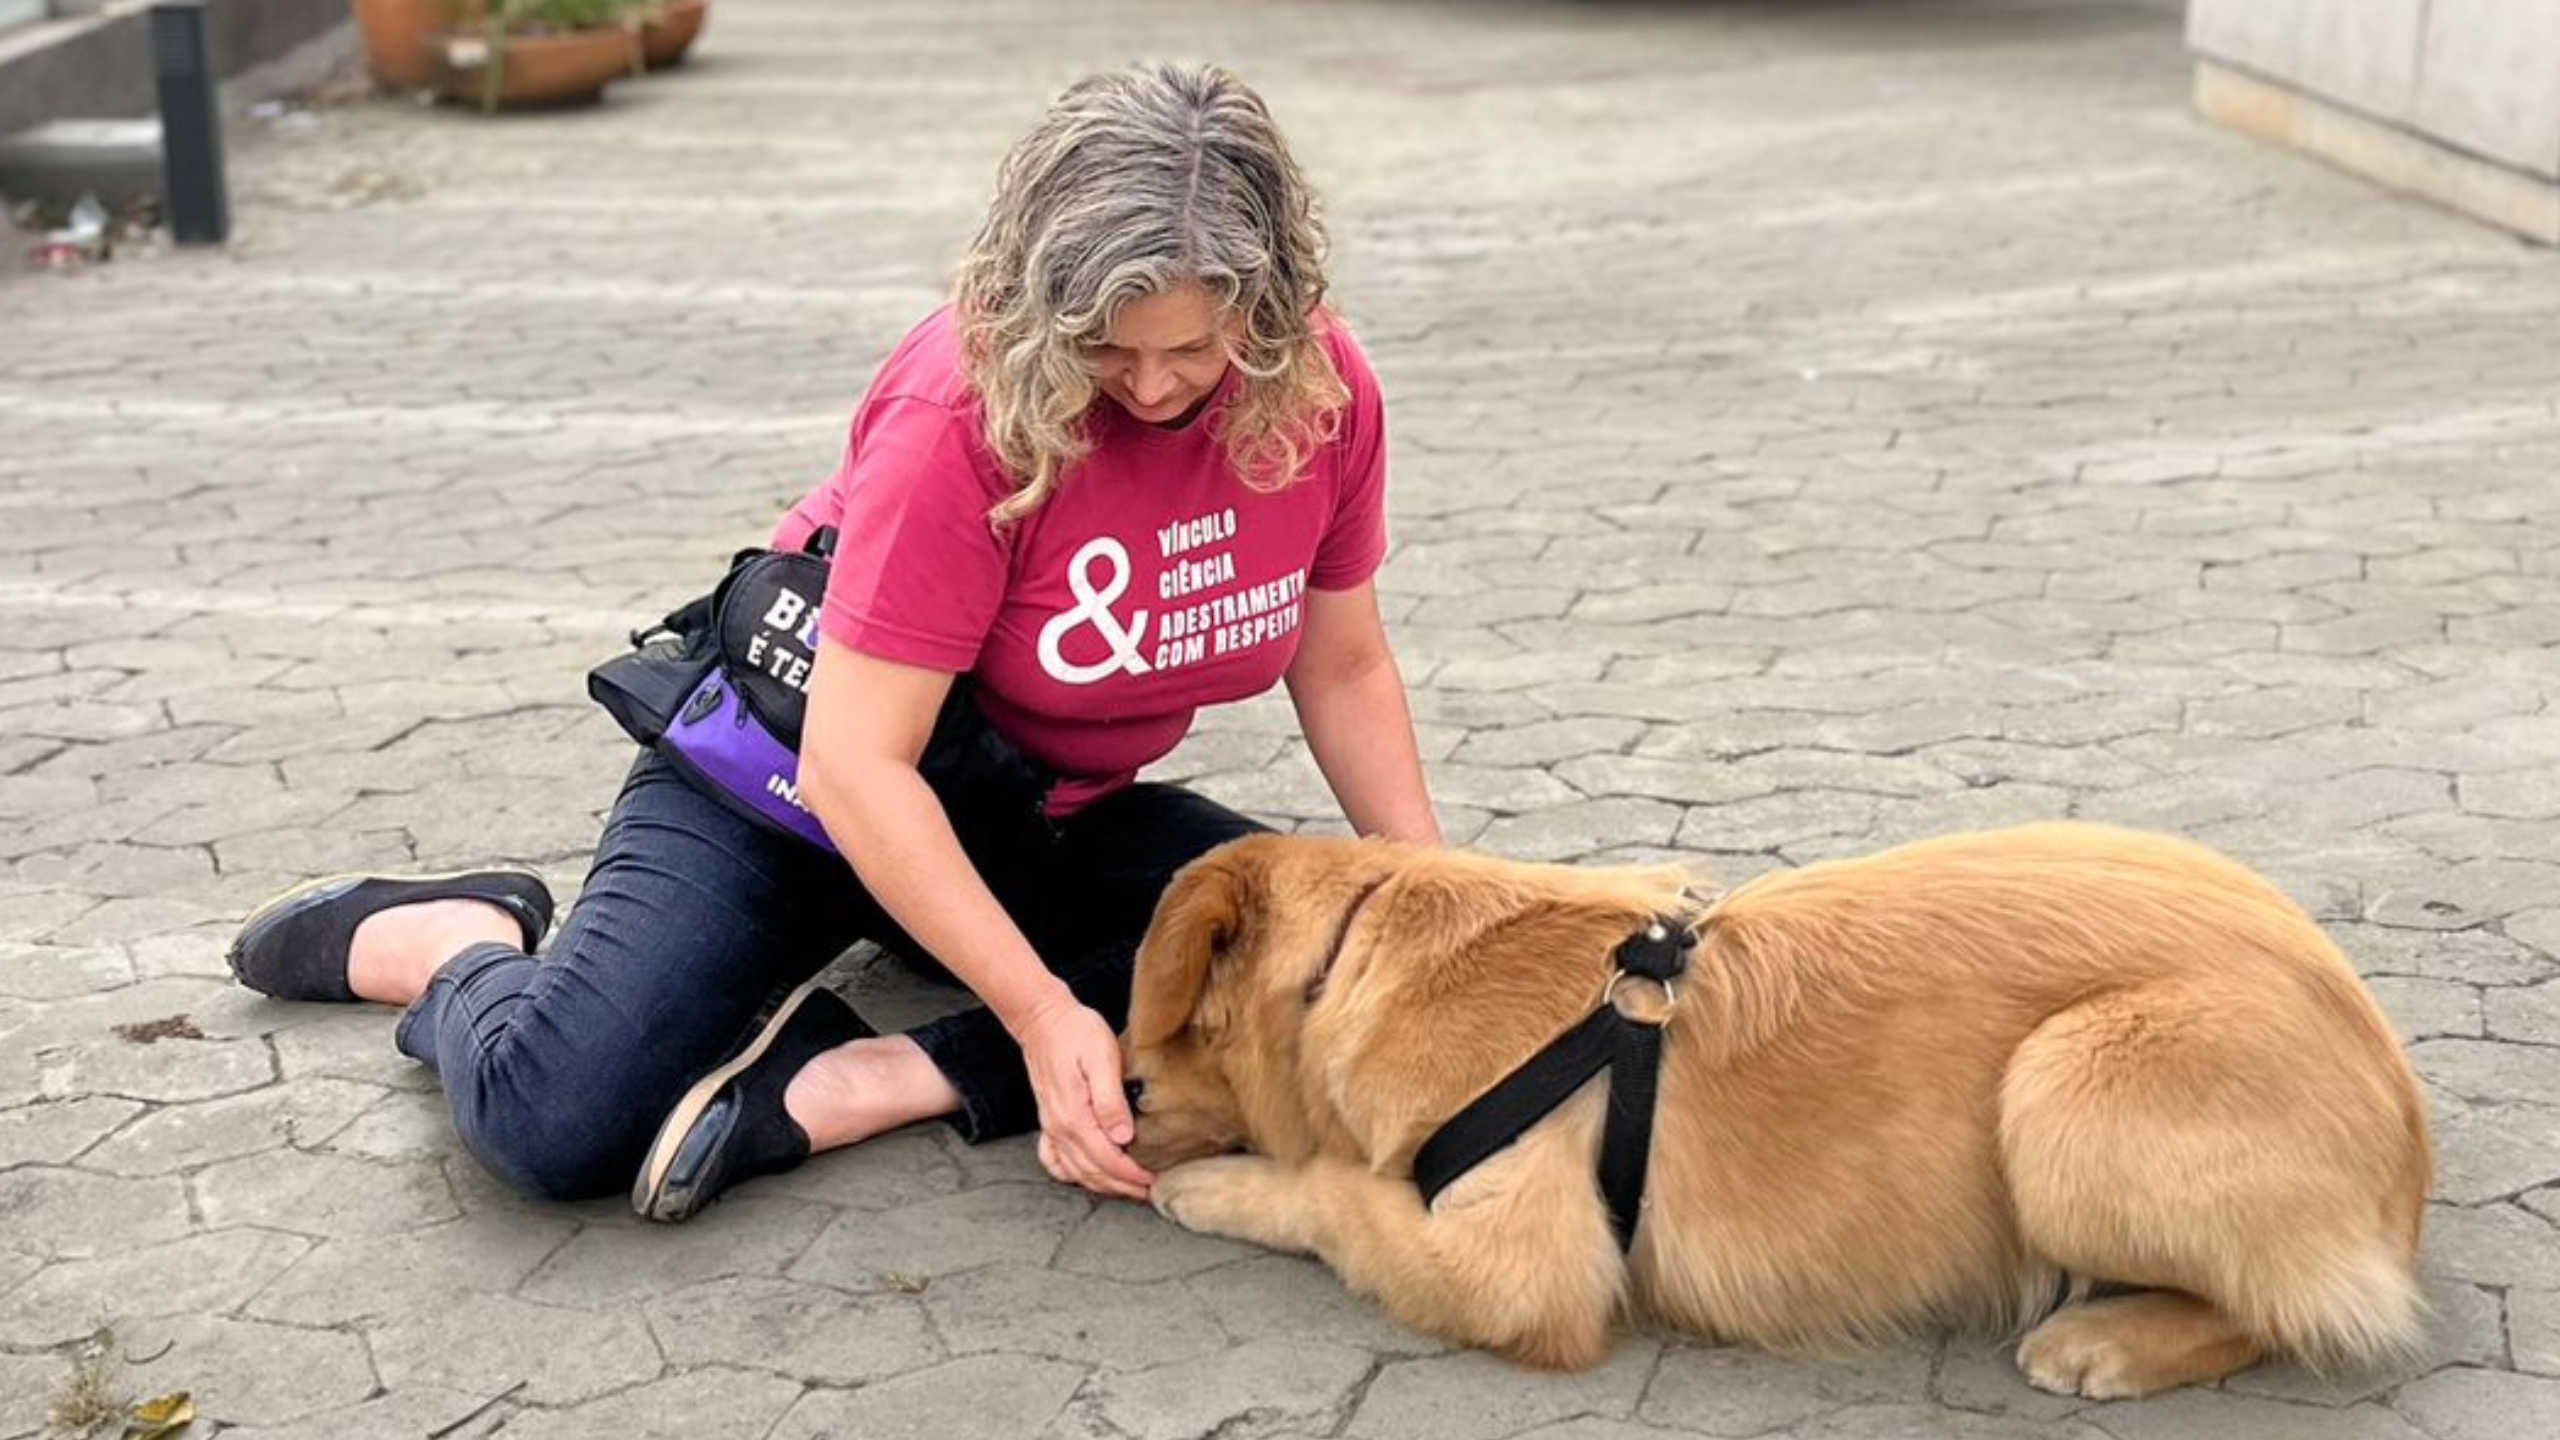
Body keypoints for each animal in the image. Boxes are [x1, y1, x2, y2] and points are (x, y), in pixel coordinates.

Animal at [1131, 819, 2426, 1393]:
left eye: (1148, 1056)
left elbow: (1336, 1196)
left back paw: (2109, 1339)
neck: (1359, 948)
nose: (1120, 1104)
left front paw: (1220, 1185)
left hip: (2065, 1090)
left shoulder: (1515, 1268)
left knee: (2307, 1308)